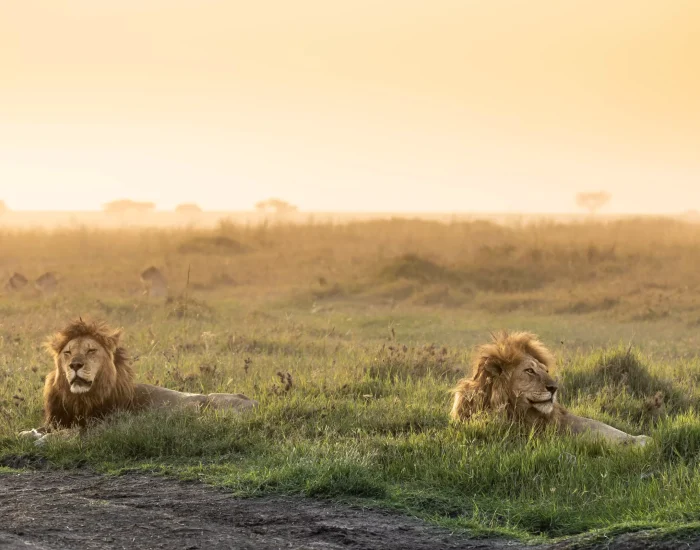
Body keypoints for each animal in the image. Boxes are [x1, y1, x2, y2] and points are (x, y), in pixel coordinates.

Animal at [20, 319, 257, 445]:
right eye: (68, 352)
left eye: (91, 350)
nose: (75, 365)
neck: (81, 399)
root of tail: (253, 401)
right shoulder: (58, 419)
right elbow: (37, 430)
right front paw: (28, 433)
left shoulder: (105, 427)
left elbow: (70, 433)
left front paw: (43, 440)